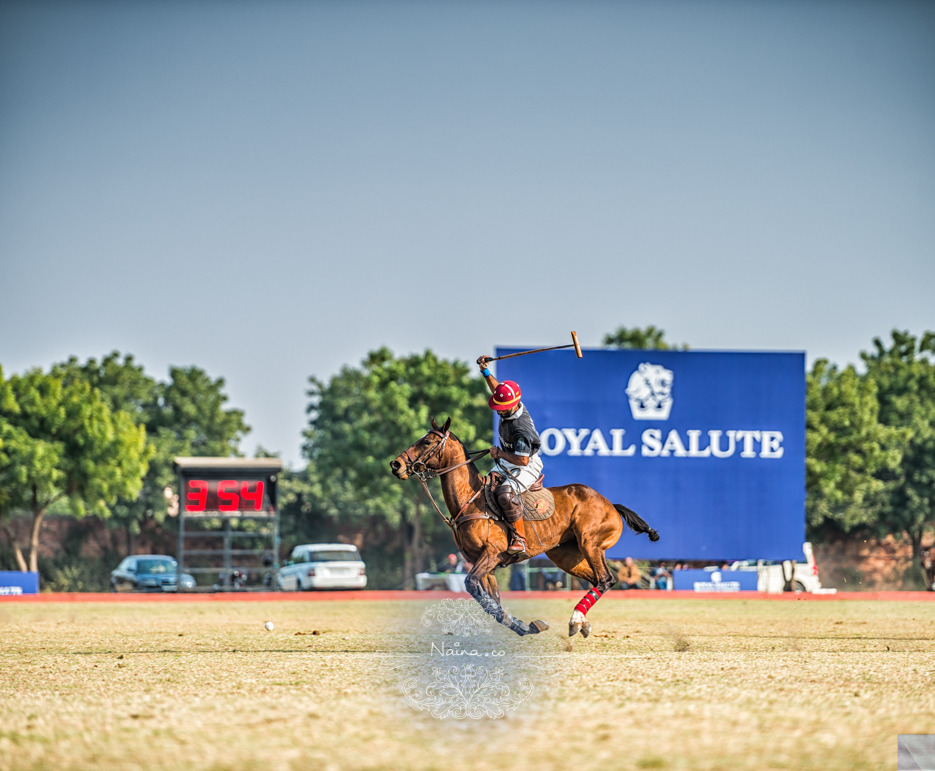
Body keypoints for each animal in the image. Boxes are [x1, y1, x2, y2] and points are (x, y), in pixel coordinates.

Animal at [388, 420, 660, 636]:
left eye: (426, 441)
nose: (396, 464)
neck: (471, 499)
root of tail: (611, 504)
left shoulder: (491, 554)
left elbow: (471, 584)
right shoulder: (485, 565)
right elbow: (492, 602)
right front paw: (524, 626)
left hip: (590, 542)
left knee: (605, 579)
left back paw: (575, 619)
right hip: (565, 555)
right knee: (599, 581)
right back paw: (581, 622)